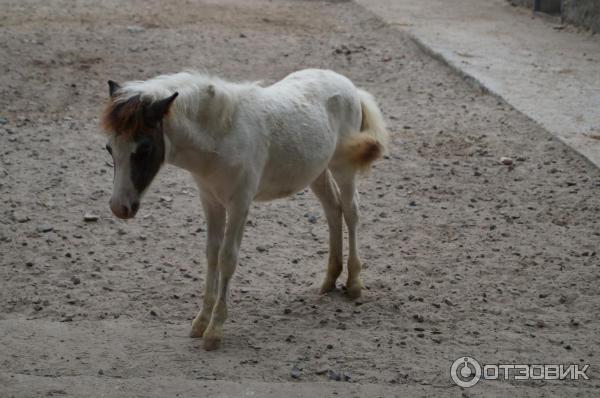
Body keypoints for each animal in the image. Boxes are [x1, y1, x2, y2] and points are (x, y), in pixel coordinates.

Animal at [101, 70, 392, 350]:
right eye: (109, 148)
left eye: (144, 148)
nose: (119, 207)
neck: (222, 136)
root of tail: (350, 86)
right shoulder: (210, 201)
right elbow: (211, 254)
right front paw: (200, 322)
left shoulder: (240, 203)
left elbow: (228, 258)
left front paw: (215, 331)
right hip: (316, 172)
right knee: (333, 210)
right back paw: (330, 280)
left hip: (344, 167)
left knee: (351, 211)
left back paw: (354, 284)